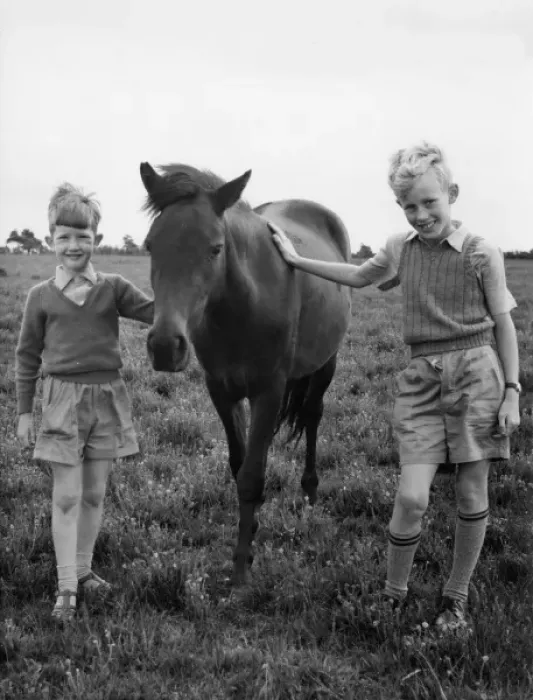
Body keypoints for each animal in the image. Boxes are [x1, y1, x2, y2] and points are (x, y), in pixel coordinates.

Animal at [140, 162, 352, 585]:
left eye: (215, 248)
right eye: (151, 245)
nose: (165, 347)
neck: (241, 306)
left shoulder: (269, 391)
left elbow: (252, 477)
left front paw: (240, 570)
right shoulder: (222, 390)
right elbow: (240, 466)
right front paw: (249, 536)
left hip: (325, 365)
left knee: (312, 416)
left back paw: (309, 492)